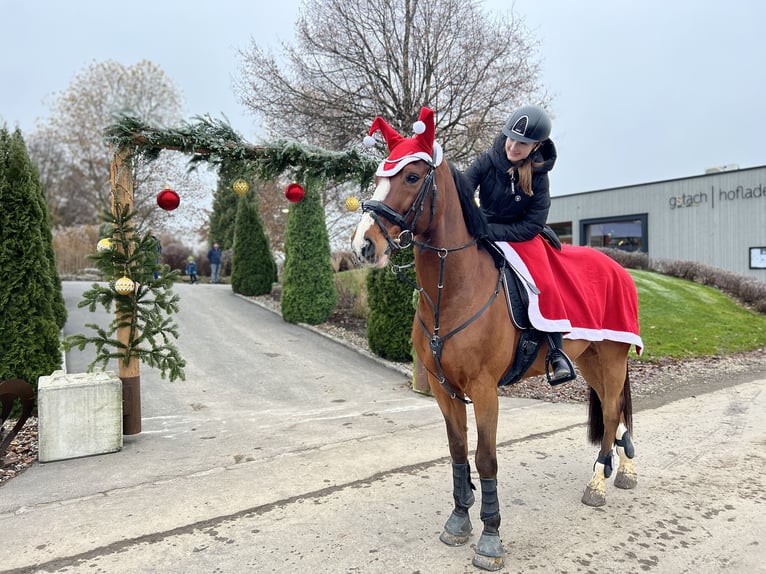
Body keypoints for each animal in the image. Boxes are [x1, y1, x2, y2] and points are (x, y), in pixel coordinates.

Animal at [354, 143, 640, 568]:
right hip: (590, 360)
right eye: (376, 178)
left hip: (612, 357)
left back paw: (599, 482)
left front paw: (490, 539)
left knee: (610, 412)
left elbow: (485, 458)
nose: (363, 245)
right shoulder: (443, 388)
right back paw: (623, 469)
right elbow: (458, 451)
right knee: (614, 409)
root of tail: (617, 267)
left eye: (411, 177)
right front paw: (459, 519)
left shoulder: (485, 389)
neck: (454, 289)